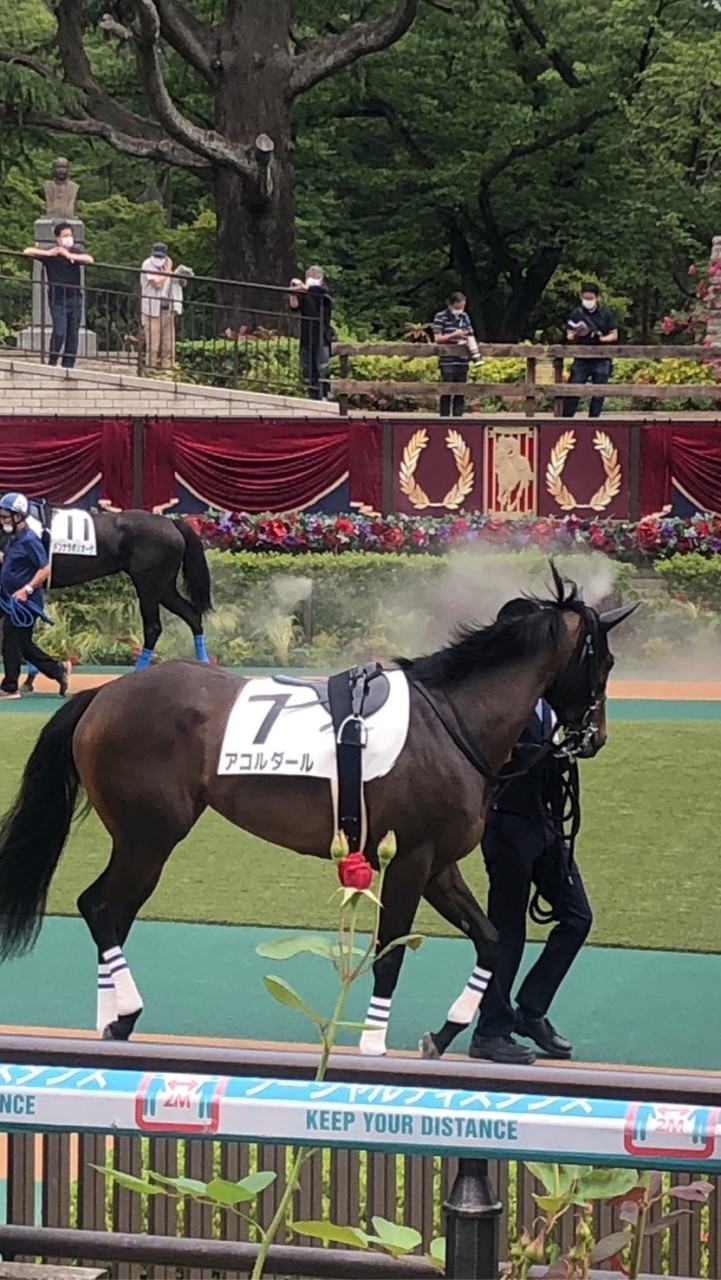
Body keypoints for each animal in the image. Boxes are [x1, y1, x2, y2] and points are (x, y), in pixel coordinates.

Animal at [0, 568, 635, 1049]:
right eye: (604, 663)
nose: (596, 737)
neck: (452, 719)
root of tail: (102, 695)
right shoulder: (409, 860)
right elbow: (389, 954)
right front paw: (375, 1047)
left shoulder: (439, 865)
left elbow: (490, 938)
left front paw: (444, 1032)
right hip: (148, 835)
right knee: (101, 907)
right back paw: (123, 1013)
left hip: (142, 839)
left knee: (111, 912)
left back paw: (110, 1021)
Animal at [18, 506, 211, 680]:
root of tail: (172, 523)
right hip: (164, 588)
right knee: (192, 616)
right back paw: (204, 664)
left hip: (148, 586)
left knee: (153, 628)